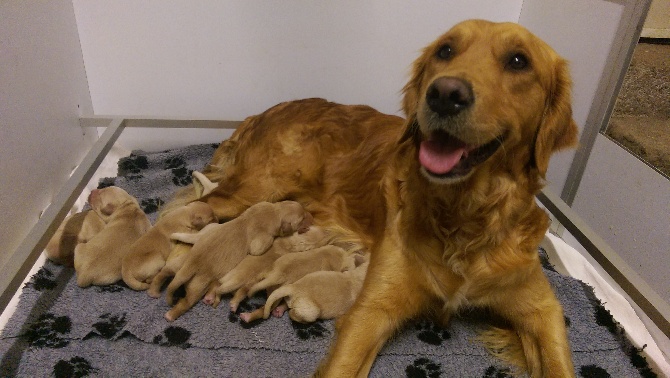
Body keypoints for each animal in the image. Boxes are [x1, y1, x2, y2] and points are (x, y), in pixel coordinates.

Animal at [163, 201, 312, 322]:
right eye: (302, 219)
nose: (312, 219)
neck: (275, 212)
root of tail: (192, 264)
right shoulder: (263, 239)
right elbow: (258, 249)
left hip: (180, 261)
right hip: (198, 286)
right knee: (187, 301)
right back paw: (171, 315)